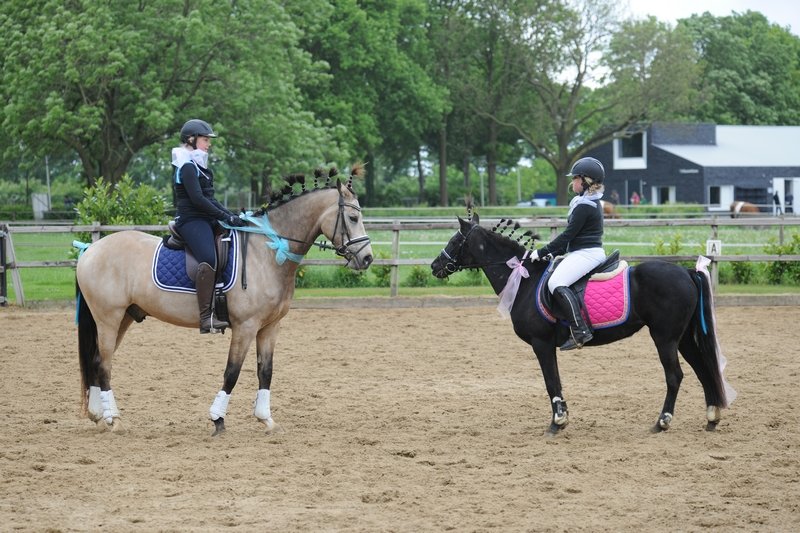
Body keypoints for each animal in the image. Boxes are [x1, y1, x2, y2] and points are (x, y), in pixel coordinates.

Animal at [76, 166, 374, 432]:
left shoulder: (270, 327)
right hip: (109, 318)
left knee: (98, 361)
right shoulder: (245, 326)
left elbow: (266, 371)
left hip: (125, 316)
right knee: (104, 363)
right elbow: (232, 371)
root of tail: (91, 248)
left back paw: (100, 416)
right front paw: (217, 419)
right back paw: (113, 420)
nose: (367, 258)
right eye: (351, 217)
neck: (268, 252)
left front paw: (266, 419)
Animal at [434, 211, 736, 432]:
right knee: (702, 369)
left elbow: (551, 382)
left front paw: (557, 423)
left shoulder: (541, 344)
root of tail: (686, 272)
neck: (524, 279)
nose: (435, 266)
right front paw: (562, 418)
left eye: (454, 241)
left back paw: (662, 422)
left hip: (664, 337)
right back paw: (711, 417)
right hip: (682, 337)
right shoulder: (546, 346)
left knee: (675, 376)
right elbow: (556, 381)